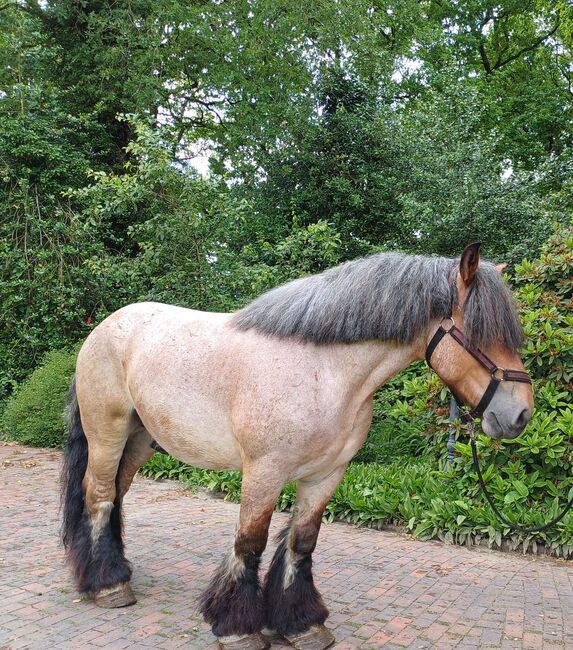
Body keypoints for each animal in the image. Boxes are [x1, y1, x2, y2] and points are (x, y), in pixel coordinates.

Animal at [61, 243, 532, 648]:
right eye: (480, 333)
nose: (521, 414)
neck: (325, 372)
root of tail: (102, 330)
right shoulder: (263, 473)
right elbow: (250, 543)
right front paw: (238, 628)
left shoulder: (326, 476)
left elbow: (301, 543)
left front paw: (300, 624)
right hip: (107, 434)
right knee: (99, 496)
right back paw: (108, 585)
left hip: (140, 440)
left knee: (117, 495)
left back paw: (116, 571)